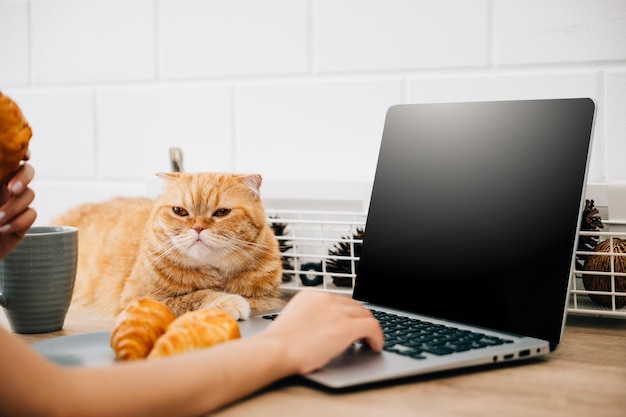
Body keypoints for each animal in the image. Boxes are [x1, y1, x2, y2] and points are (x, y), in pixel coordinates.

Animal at [51, 171, 282, 318]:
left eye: (222, 212)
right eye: (180, 211)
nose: (198, 228)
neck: (215, 273)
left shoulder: (268, 300)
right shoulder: (137, 301)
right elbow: (193, 297)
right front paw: (227, 300)